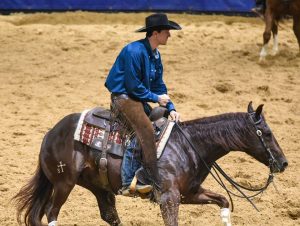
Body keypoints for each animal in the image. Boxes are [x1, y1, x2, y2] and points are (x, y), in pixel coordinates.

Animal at [13, 102, 288, 226]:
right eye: (267, 133)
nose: (284, 163)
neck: (188, 145)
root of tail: (50, 134)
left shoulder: (189, 193)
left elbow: (223, 200)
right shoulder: (169, 197)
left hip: (98, 187)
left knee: (108, 215)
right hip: (63, 183)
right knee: (50, 213)